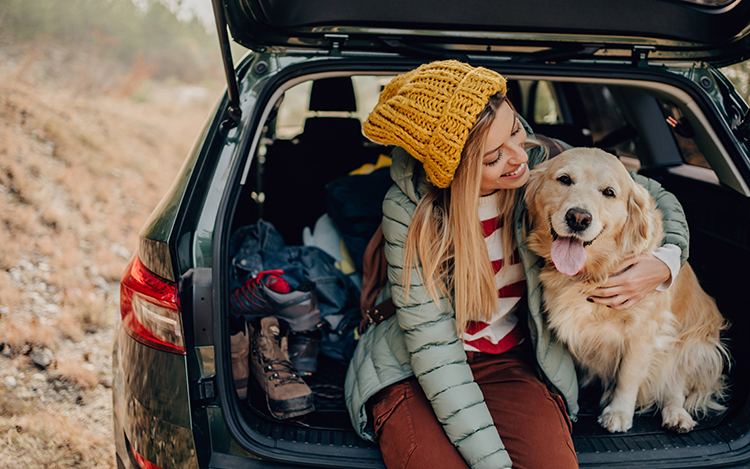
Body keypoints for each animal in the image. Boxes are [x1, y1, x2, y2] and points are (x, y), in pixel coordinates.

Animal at [524, 148, 732, 434]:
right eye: (564, 179)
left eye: (609, 192)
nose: (578, 218)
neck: (594, 271)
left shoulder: (645, 332)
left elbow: (628, 376)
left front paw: (619, 412)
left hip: (692, 344)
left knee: (676, 385)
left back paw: (677, 415)